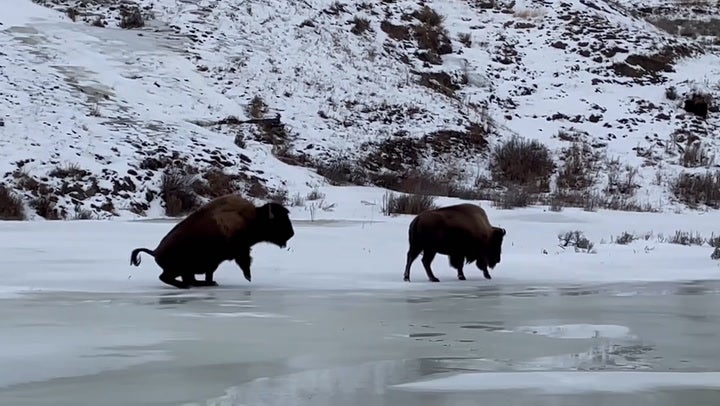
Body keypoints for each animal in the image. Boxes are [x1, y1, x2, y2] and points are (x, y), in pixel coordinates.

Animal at [130, 194, 296, 288]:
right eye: (278, 221)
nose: (291, 233)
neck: (253, 218)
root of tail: (155, 251)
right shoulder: (239, 251)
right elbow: (244, 262)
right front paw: (248, 277)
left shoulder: (214, 262)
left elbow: (211, 273)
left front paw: (212, 282)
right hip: (177, 269)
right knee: (166, 277)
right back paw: (185, 286)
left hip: (185, 270)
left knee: (187, 278)